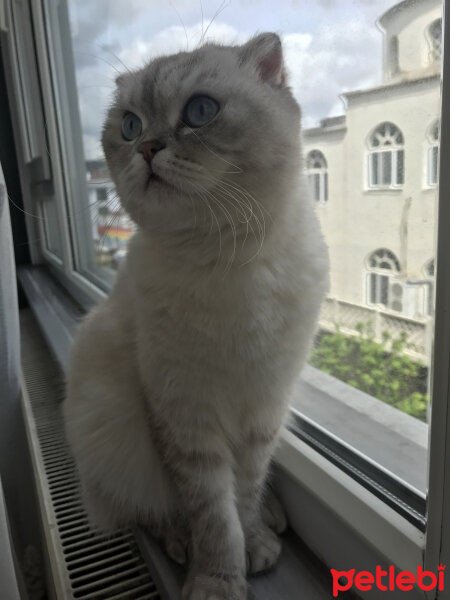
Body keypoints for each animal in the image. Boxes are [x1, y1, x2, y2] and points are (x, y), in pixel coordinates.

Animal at [63, 32, 328, 600]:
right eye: (130, 125)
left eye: (200, 112)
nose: (146, 148)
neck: (224, 255)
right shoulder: (185, 414)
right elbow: (213, 514)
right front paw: (217, 581)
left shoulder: (262, 412)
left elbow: (244, 497)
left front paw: (254, 546)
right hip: (106, 419)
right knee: (147, 508)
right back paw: (181, 542)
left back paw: (272, 521)